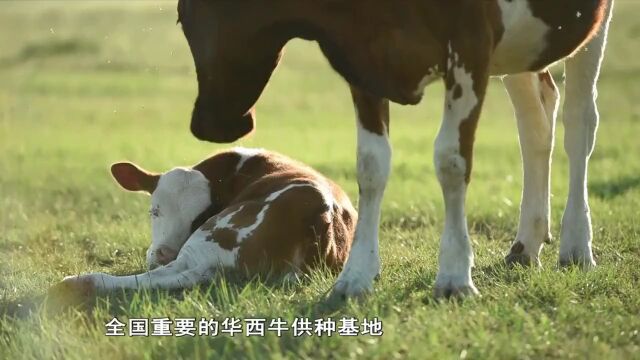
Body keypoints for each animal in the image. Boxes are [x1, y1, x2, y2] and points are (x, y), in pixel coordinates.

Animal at [53, 148, 356, 294]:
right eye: (154, 211)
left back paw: (79, 282)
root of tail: (320, 213)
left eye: (200, 215)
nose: (163, 253)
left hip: (208, 239)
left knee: (174, 275)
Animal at [175, 0, 616, 300]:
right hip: (522, 48)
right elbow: (370, 165)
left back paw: (576, 245)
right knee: (536, 120)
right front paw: (356, 276)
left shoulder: (472, 43)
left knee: (580, 121)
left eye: (183, 18)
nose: (206, 125)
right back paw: (527, 243)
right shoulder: (363, 59)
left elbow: (451, 160)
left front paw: (454, 275)